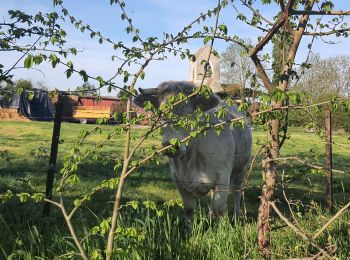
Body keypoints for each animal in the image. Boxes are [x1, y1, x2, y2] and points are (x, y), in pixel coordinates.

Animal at [134, 82, 252, 225]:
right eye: (161, 115)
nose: (170, 145)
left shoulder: (223, 177)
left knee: (236, 191)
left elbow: (217, 211)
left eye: (189, 115)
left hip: (241, 168)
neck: (190, 161)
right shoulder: (178, 179)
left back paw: (238, 215)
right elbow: (189, 209)